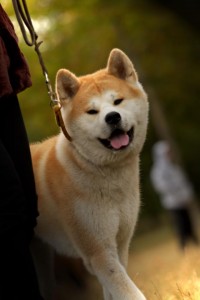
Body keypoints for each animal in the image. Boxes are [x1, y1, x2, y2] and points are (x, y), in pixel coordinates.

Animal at [31, 49, 148, 300]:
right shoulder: (98, 252)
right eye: (92, 112)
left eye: (117, 101)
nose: (112, 117)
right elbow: (129, 292)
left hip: (42, 255)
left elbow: (113, 291)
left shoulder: (120, 244)